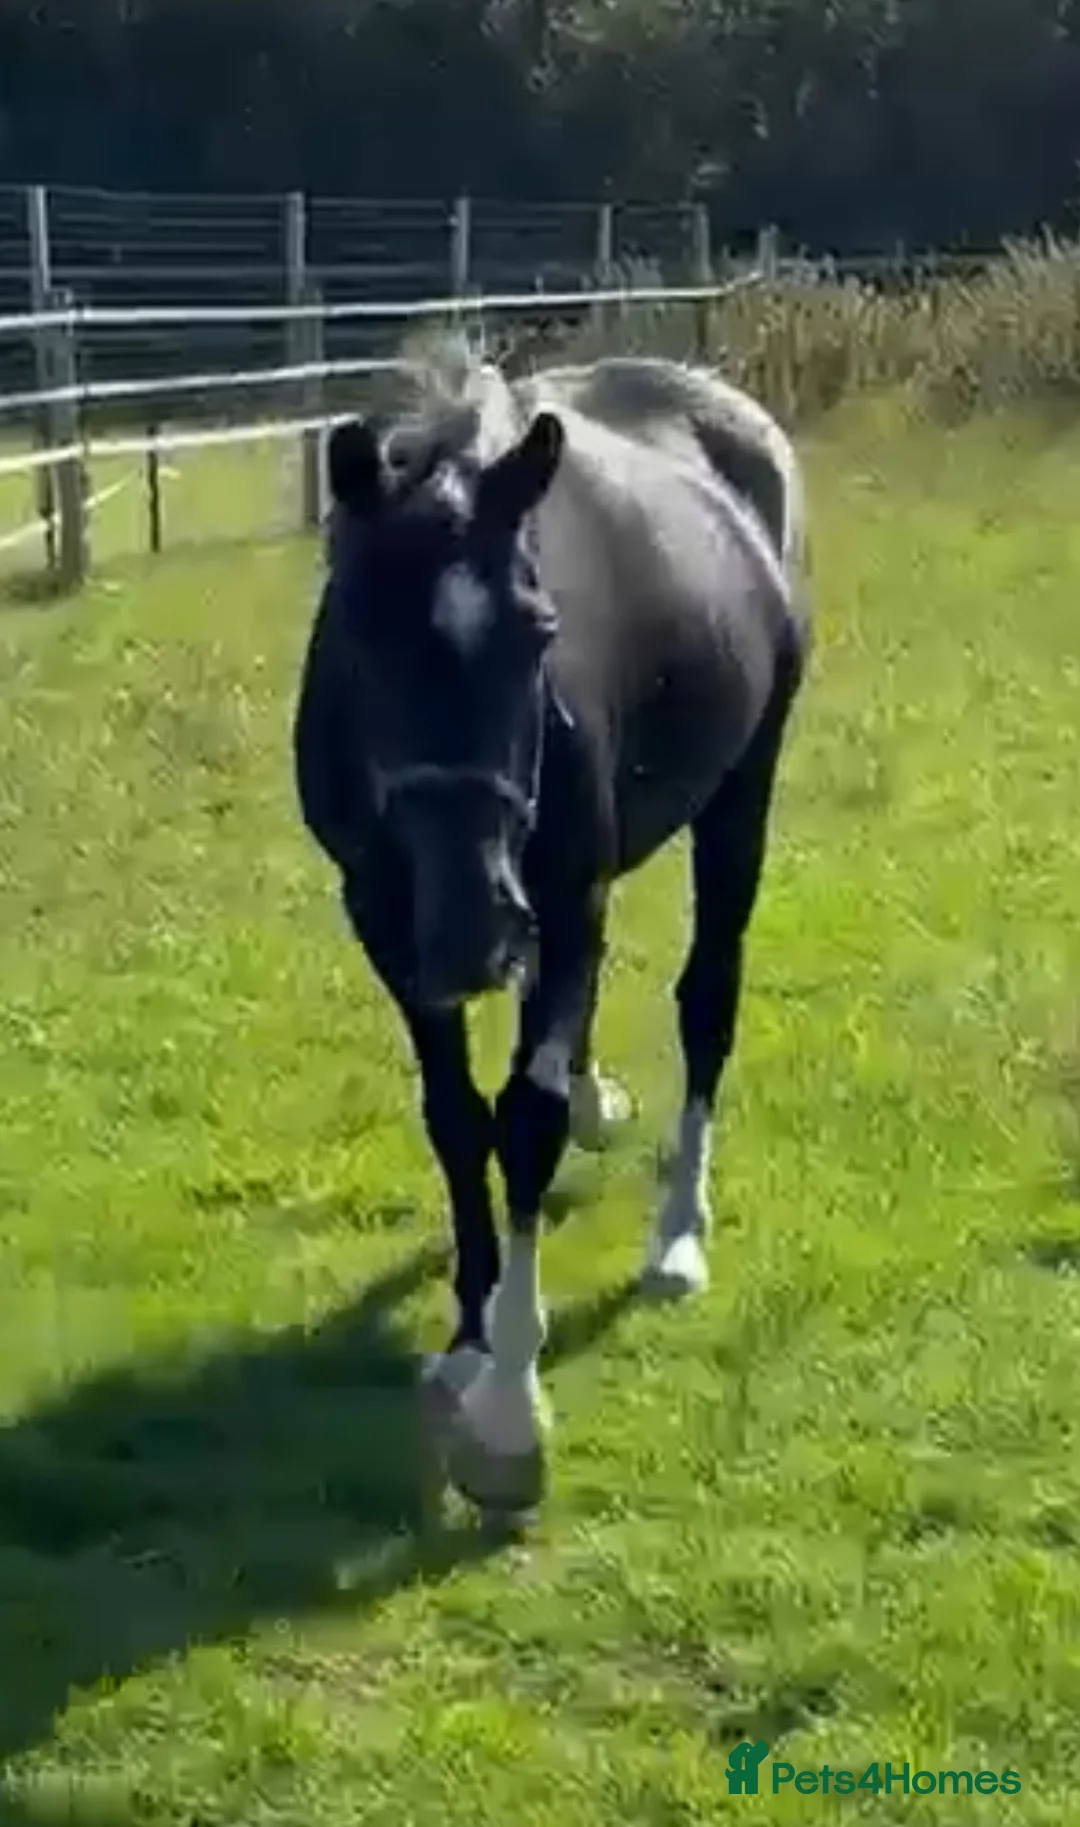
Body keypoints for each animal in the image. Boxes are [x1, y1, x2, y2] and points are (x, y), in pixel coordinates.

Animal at [292, 344, 810, 1521]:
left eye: (539, 630)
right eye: (359, 630)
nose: (472, 927)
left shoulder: (563, 900)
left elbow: (519, 1123)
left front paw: (508, 1415)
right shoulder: (384, 922)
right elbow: (455, 1120)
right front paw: (469, 1336)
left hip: (739, 797)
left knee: (707, 1001)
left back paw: (676, 1237)